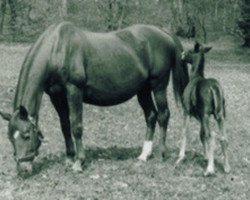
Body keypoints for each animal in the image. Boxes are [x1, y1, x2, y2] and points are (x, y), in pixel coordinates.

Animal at [0, 21, 189, 176]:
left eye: (26, 135)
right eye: (9, 137)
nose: (22, 169)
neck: (58, 50)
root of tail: (163, 32)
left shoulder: (74, 91)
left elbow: (76, 126)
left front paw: (78, 162)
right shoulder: (56, 96)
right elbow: (65, 126)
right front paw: (69, 158)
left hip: (158, 85)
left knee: (163, 115)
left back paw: (161, 154)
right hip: (143, 89)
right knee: (151, 116)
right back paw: (144, 155)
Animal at [175, 41, 231, 175]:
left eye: (190, 51)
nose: (182, 54)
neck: (195, 76)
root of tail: (214, 88)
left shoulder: (187, 110)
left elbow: (185, 131)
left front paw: (180, 156)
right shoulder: (200, 115)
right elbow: (201, 134)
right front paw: (205, 156)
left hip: (206, 114)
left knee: (211, 135)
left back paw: (210, 169)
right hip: (220, 114)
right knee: (223, 137)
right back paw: (226, 166)